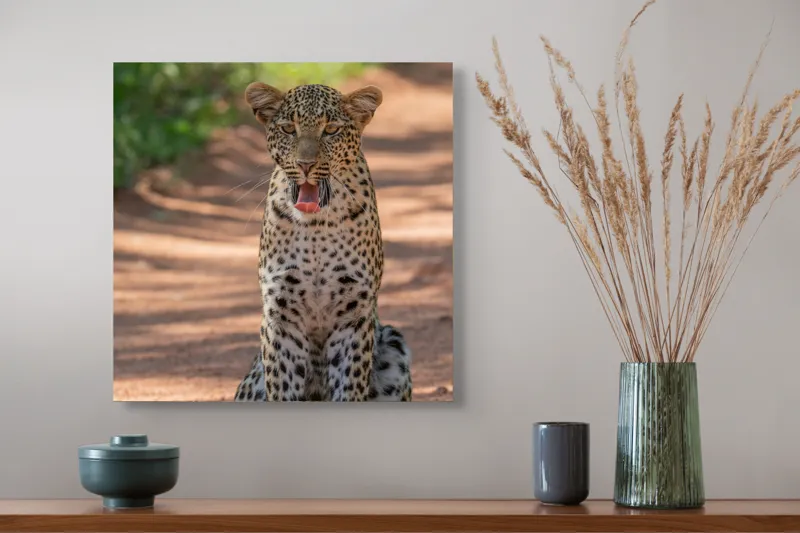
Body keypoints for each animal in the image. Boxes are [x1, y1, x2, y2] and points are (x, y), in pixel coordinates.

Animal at [233, 81, 412, 402]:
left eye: (330, 130)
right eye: (288, 129)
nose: (305, 165)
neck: (315, 226)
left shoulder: (354, 315)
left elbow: (349, 385)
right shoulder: (281, 314)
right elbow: (283, 386)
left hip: (394, 343)